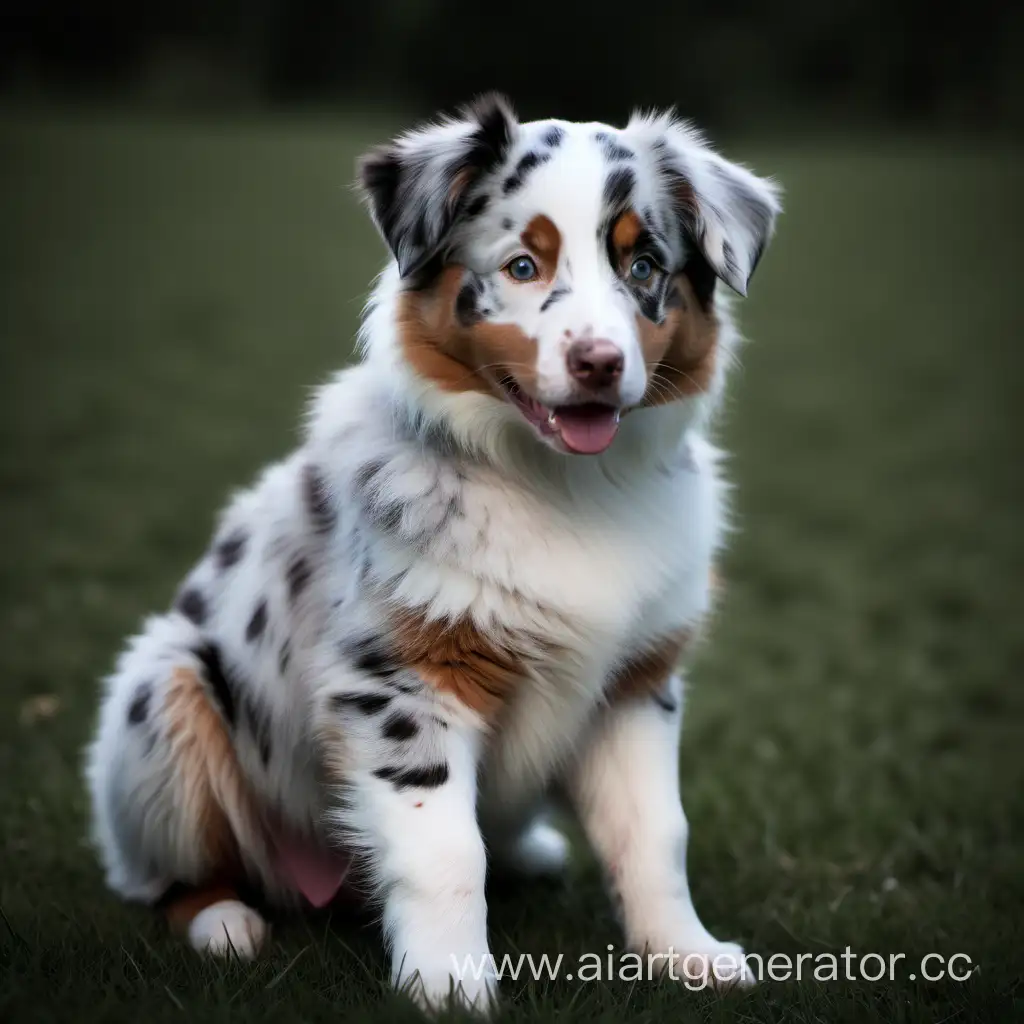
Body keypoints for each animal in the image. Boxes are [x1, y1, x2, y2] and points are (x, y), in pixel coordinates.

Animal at [83, 92, 778, 1011]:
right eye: (522, 266)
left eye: (643, 265)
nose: (598, 362)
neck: (564, 486)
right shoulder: (401, 683)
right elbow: (446, 849)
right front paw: (449, 987)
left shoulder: (635, 684)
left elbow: (657, 832)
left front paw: (687, 956)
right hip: (163, 691)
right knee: (163, 881)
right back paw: (226, 925)